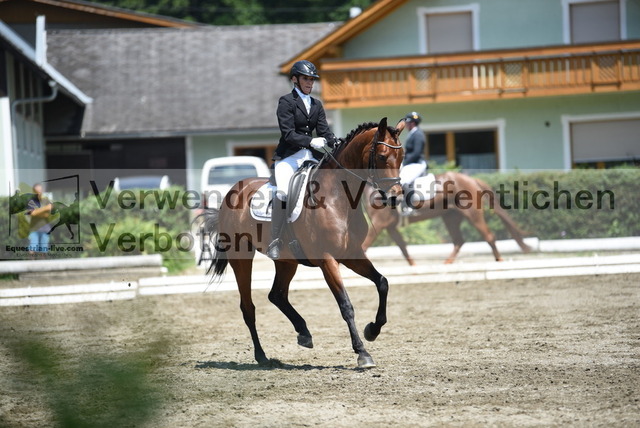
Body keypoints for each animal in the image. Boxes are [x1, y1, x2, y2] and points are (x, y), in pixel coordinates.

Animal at [203, 117, 405, 368]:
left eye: (402, 156)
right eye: (382, 156)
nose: (396, 197)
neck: (339, 198)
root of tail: (231, 192)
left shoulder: (352, 253)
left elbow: (382, 283)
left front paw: (372, 330)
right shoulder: (327, 260)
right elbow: (346, 305)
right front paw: (362, 353)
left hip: (286, 261)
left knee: (277, 295)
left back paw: (304, 333)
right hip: (241, 258)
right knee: (248, 307)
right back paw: (262, 356)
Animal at [363, 171, 531, 265]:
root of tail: (472, 180)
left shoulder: (379, 223)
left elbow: (364, 246)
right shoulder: (390, 226)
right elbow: (403, 248)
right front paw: (414, 267)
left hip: (472, 214)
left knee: (488, 236)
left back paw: (499, 261)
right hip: (451, 217)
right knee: (458, 241)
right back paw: (447, 262)